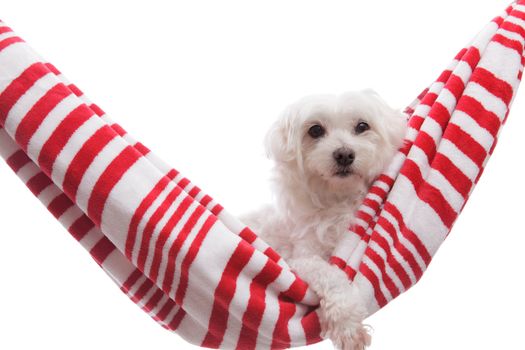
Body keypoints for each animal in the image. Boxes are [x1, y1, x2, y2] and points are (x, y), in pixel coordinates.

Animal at [242, 91, 406, 350]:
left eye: (362, 126)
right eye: (315, 130)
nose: (344, 154)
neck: (339, 199)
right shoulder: (301, 259)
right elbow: (331, 276)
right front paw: (348, 327)